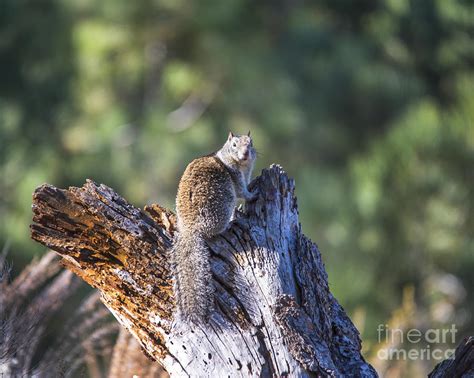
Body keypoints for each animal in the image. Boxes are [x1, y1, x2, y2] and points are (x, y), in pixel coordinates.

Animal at [172, 131, 258, 322]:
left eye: (251, 143)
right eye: (234, 145)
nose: (245, 154)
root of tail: (190, 228)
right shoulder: (236, 176)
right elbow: (244, 192)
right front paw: (254, 194)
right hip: (224, 202)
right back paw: (232, 222)